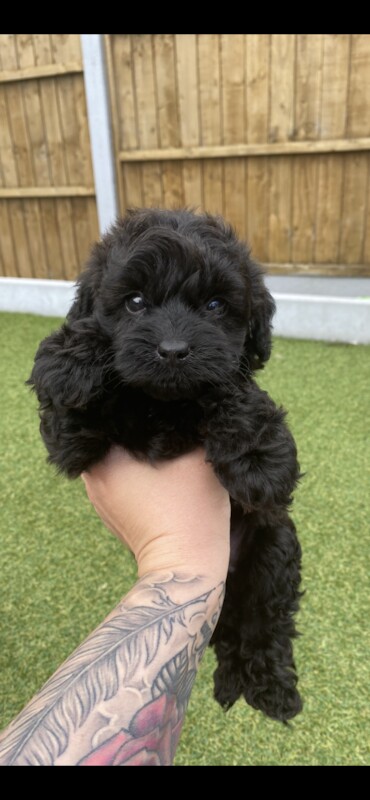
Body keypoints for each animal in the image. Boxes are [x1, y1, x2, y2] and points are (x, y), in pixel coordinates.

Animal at [29, 209, 304, 720]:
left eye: (215, 305)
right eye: (135, 302)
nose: (174, 350)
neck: (163, 405)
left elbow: (232, 386)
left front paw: (259, 459)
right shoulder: (74, 446)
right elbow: (70, 414)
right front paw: (71, 359)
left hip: (275, 550)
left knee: (265, 622)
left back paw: (270, 687)